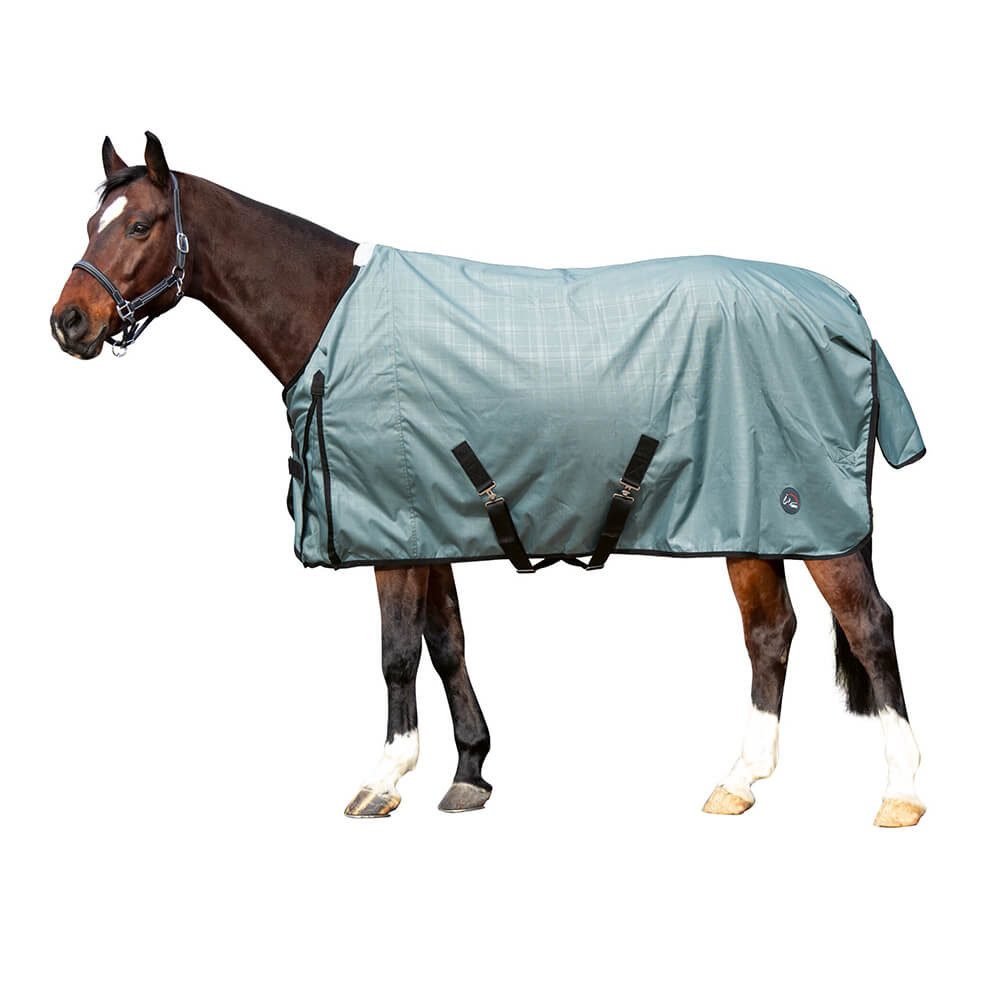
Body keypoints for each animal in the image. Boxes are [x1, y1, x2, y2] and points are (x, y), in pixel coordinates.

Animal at [50, 133, 926, 827]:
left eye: (139, 224)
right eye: (92, 223)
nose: (68, 321)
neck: (332, 319)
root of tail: (847, 310)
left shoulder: (391, 535)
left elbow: (397, 652)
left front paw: (384, 779)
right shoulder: (429, 520)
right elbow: (447, 644)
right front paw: (470, 771)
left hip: (813, 521)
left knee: (868, 627)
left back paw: (902, 793)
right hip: (749, 519)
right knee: (770, 633)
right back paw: (740, 781)